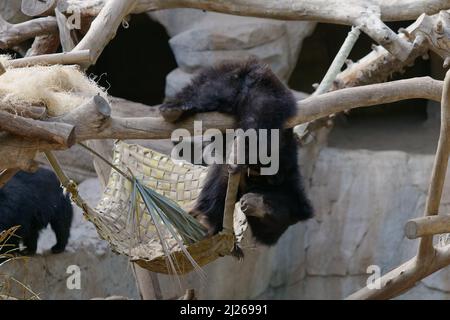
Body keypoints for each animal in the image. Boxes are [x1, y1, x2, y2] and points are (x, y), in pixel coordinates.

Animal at [161, 58, 312, 245]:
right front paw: (207, 220)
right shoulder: (282, 157)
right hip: (268, 96)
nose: (247, 204)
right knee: (258, 120)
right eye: (268, 203)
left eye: (265, 215)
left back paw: (174, 109)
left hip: (231, 81)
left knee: (209, 90)